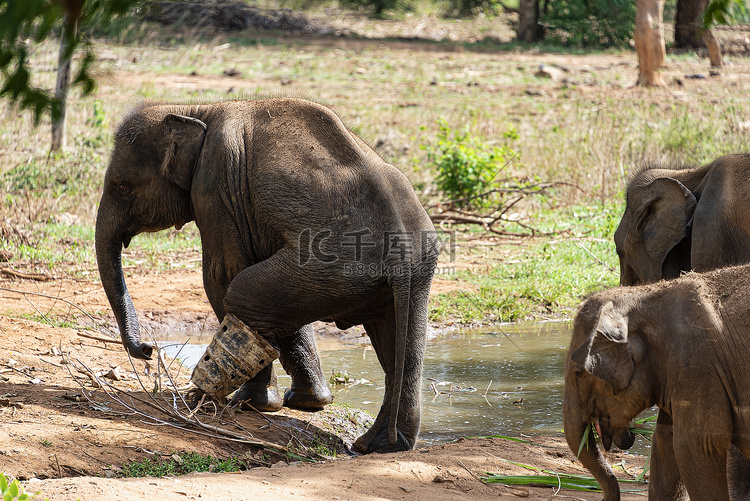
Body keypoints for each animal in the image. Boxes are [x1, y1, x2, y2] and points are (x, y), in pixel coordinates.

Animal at [97, 97, 444, 454]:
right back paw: (380, 446)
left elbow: (222, 275)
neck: (196, 108)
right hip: (412, 269)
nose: (147, 350)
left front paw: (257, 405)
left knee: (244, 294)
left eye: (122, 186)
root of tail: (400, 250)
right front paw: (308, 403)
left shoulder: (215, 187)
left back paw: (216, 397)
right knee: (401, 345)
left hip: (335, 263)